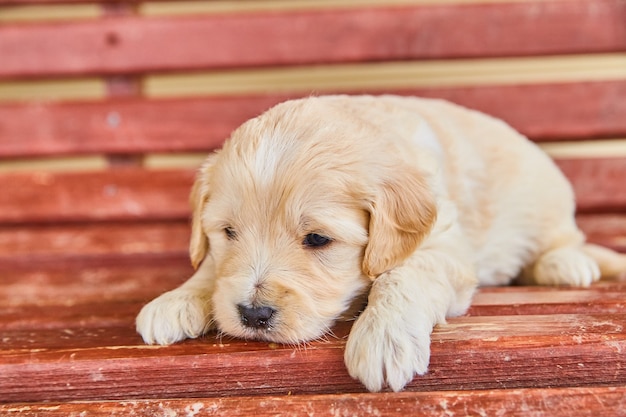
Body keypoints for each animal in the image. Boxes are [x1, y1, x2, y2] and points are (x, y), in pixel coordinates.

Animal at [136, 93, 624, 390]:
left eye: (317, 239)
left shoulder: (444, 246)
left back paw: (565, 264)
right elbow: (210, 268)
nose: (253, 315)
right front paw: (177, 299)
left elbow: (403, 275)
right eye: (228, 233)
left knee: (566, 238)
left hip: (547, 202)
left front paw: (384, 336)